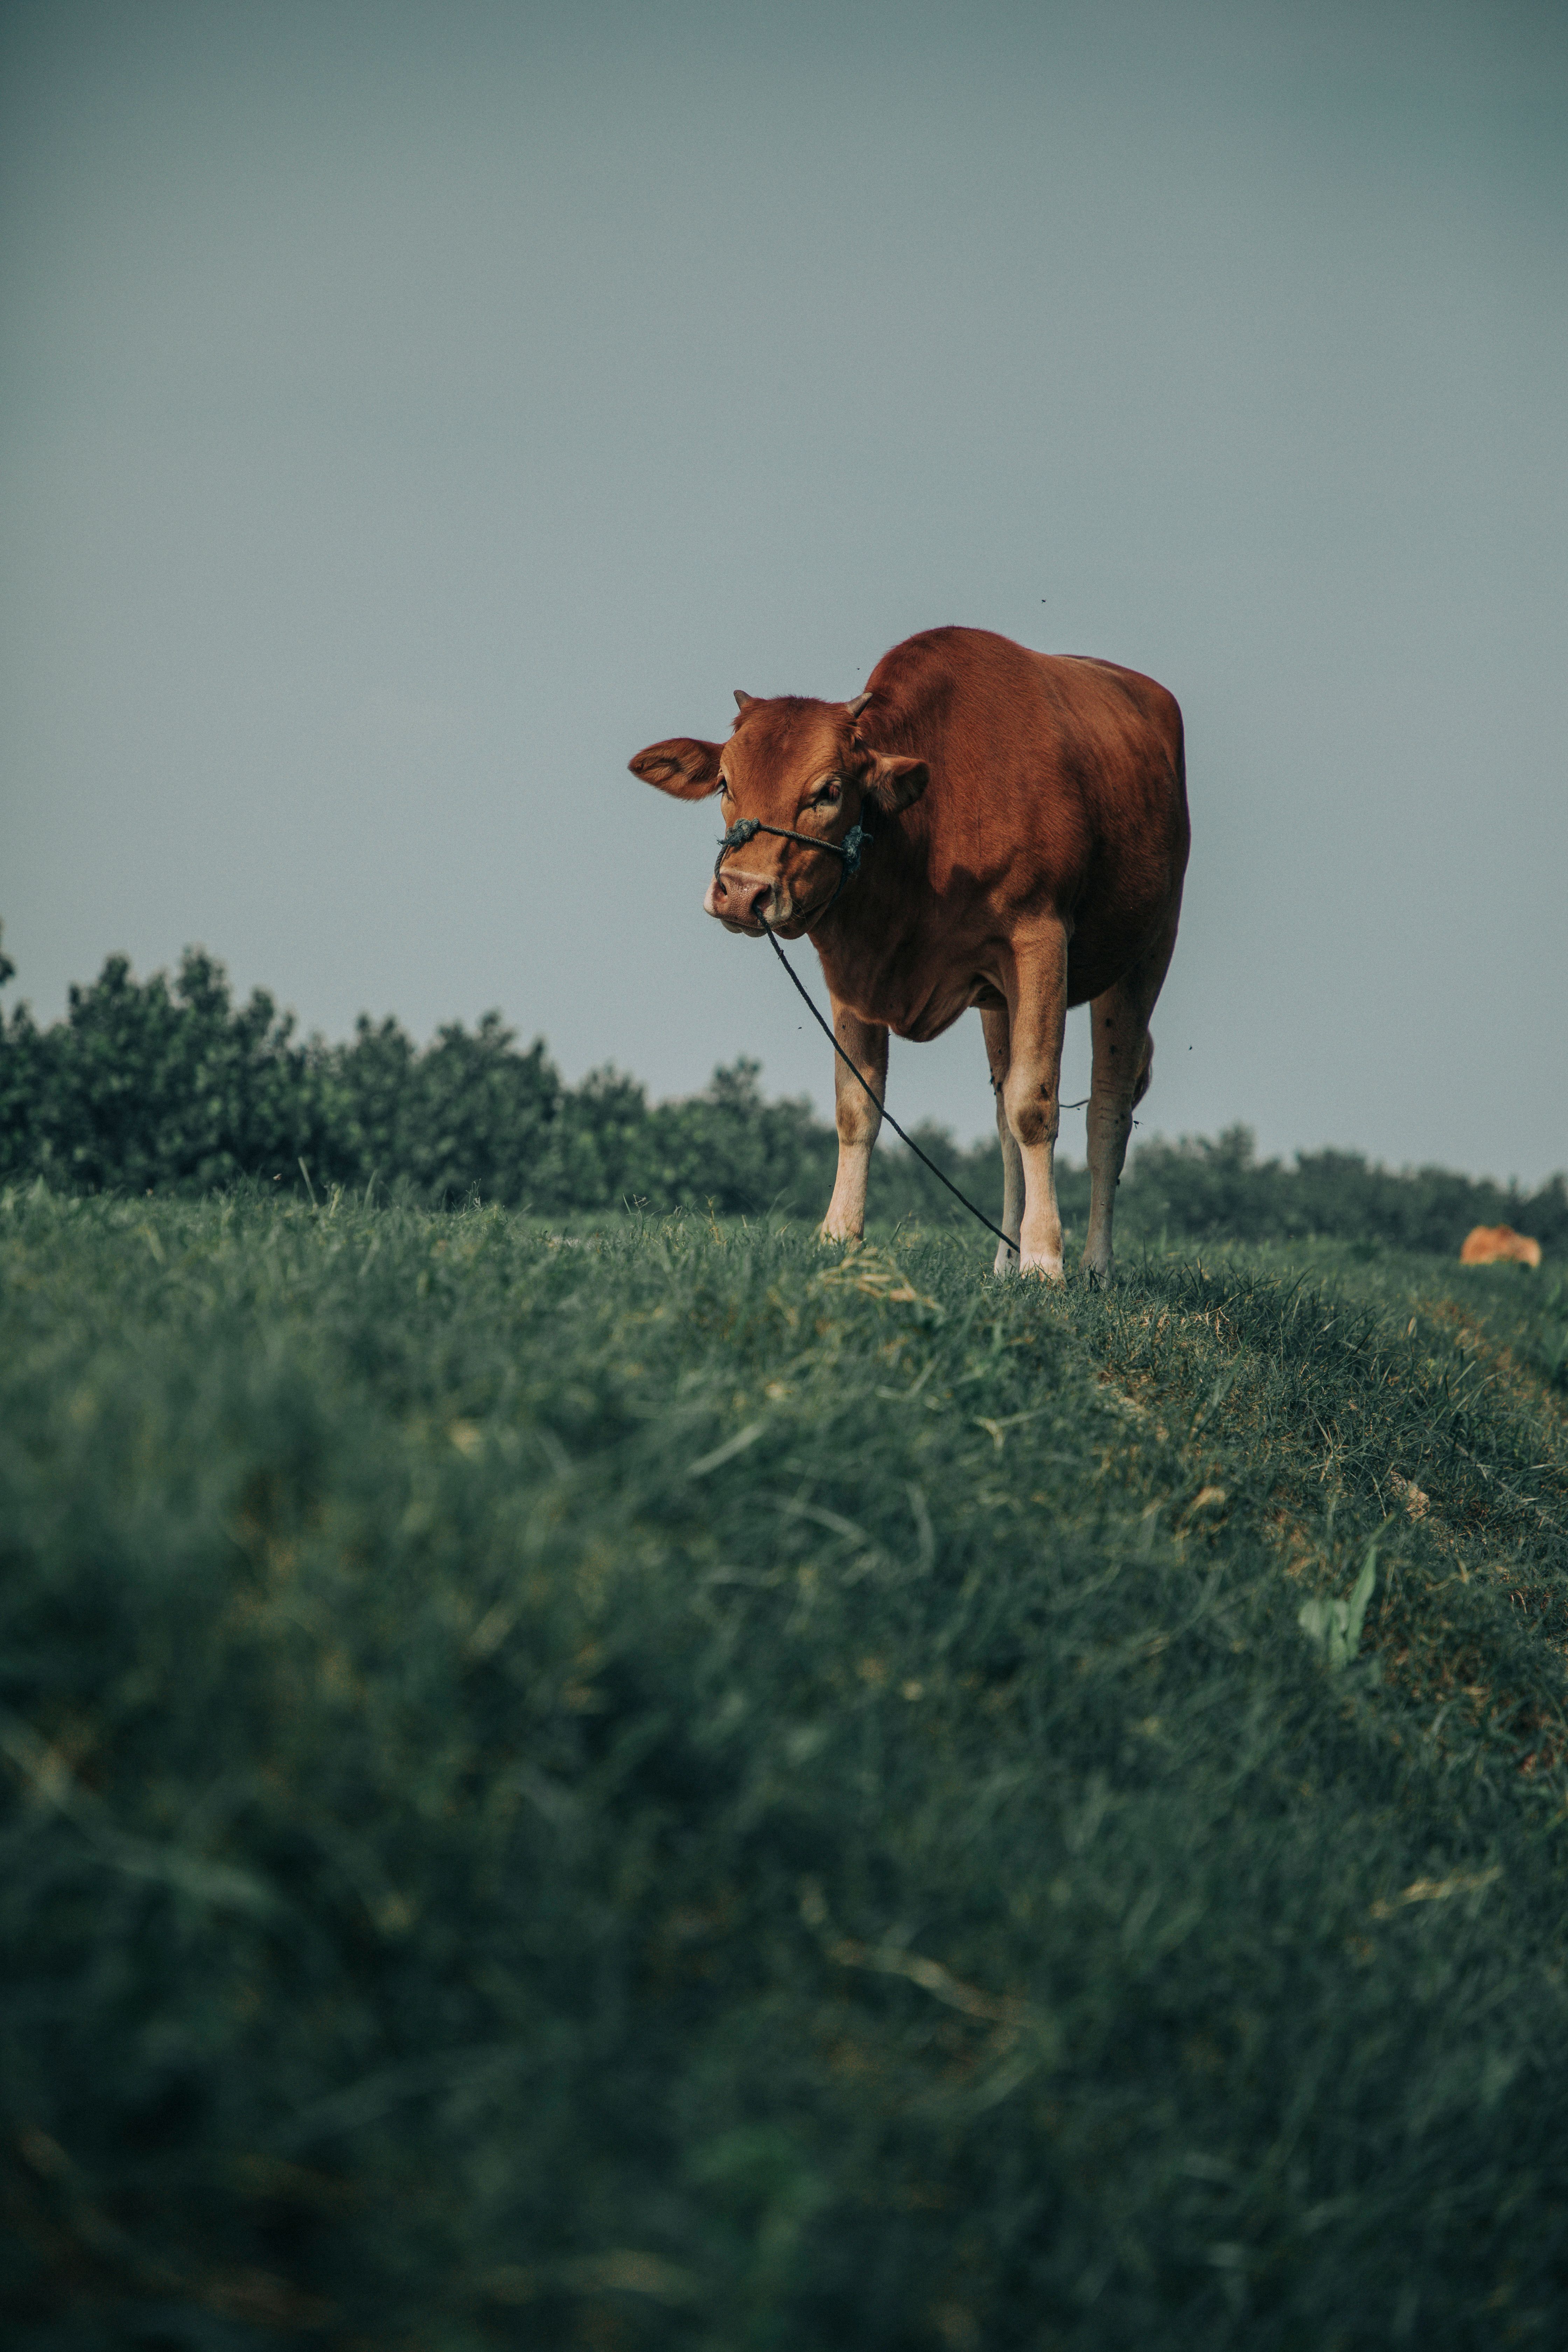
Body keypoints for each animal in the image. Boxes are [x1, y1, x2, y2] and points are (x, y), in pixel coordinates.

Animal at [629, 625, 1189, 1282]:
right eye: (724, 784)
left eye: (829, 791)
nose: (743, 891)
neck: (930, 835)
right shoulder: (854, 970)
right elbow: (858, 1106)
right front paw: (839, 1236)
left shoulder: (1040, 943)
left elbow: (1035, 1104)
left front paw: (1044, 1260)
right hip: (999, 1003)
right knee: (1004, 1120)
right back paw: (1004, 1258)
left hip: (1145, 957)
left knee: (1108, 1115)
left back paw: (1094, 1264)